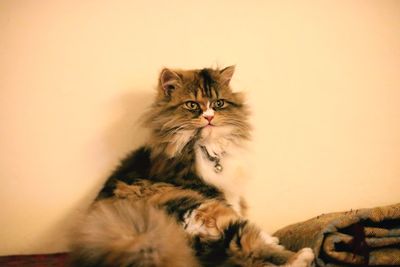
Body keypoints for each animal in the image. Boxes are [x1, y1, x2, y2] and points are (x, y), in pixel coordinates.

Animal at [69, 67, 316, 267]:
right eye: (192, 105)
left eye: (218, 103)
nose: (209, 117)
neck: (209, 148)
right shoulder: (220, 194)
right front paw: (273, 238)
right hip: (205, 209)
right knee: (251, 247)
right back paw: (303, 253)